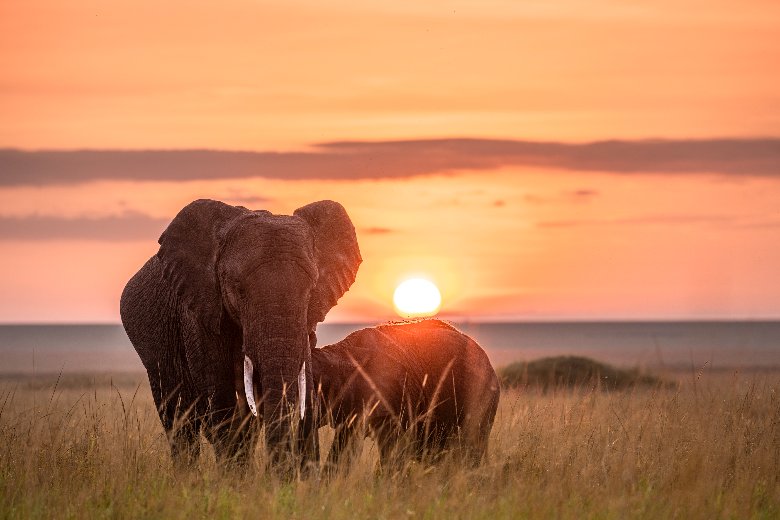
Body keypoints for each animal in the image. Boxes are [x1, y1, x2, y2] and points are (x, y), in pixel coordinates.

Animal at [119, 199, 361, 475]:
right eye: (237, 288)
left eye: (311, 289)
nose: (279, 476)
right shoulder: (200, 315)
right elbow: (223, 399)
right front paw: (236, 480)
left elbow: (304, 385)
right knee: (180, 423)